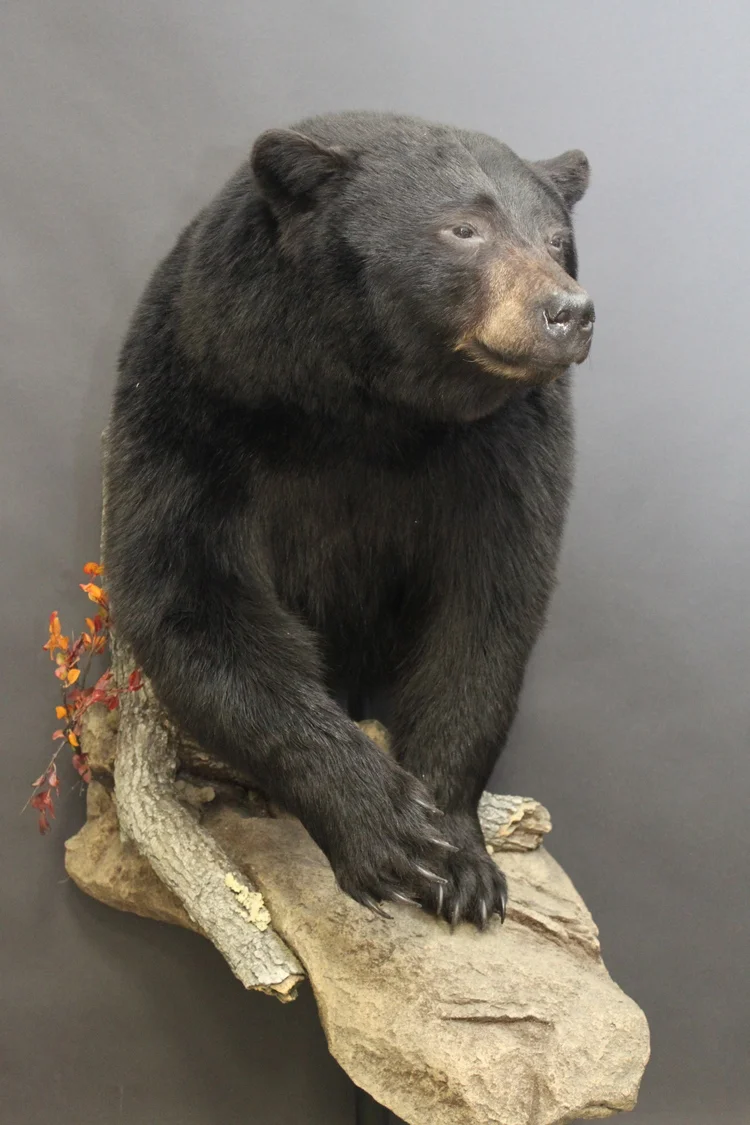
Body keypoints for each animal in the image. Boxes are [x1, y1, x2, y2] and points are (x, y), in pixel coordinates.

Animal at [104, 111, 593, 930]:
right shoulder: (198, 395)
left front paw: (462, 858)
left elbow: (485, 613)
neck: (370, 407)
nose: (569, 311)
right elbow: (191, 597)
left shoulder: (510, 447)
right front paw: (389, 833)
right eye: (463, 229)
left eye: (558, 239)